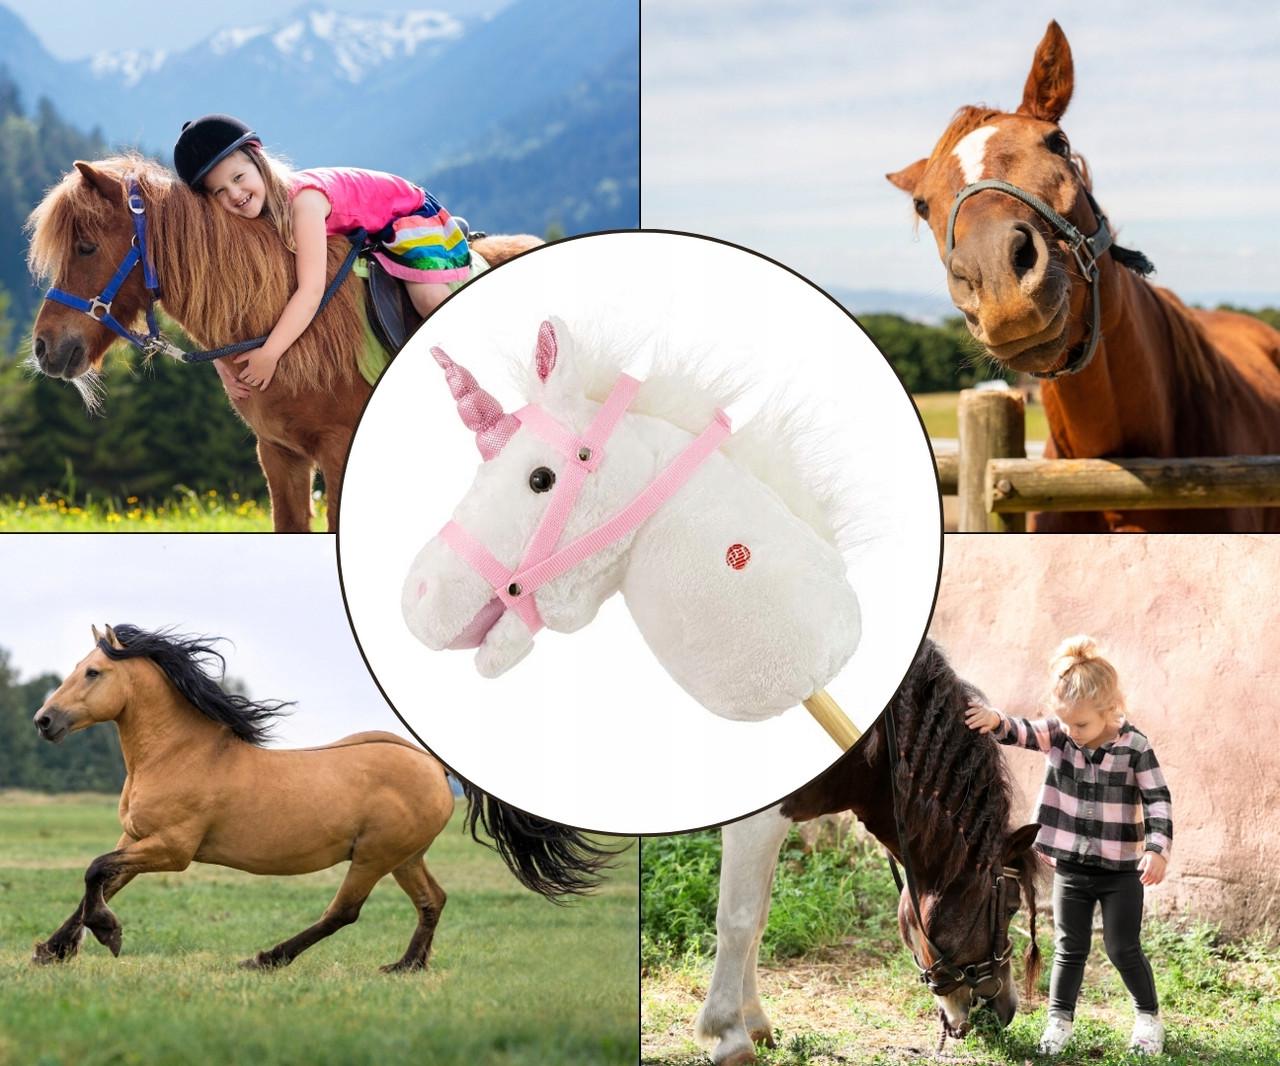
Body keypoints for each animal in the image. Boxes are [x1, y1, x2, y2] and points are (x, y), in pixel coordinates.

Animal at [30, 624, 614, 971]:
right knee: (433, 900)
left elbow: (94, 871)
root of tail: (432, 764)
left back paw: (266, 959)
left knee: (343, 913)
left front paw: (107, 935)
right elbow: (99, 881)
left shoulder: (172, 850)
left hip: (374, 856)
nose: (44, 721)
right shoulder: (137, 838)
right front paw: (52, 950)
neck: (181, 753)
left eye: (94, 671)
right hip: (405, 857)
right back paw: (406, 966)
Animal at [694, 640, 1042, 1064]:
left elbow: (758, 920)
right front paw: (730, 1033)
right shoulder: (757, 821)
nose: (1006, 1011)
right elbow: (739, 923)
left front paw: (754, 1021)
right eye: (1011, 908)